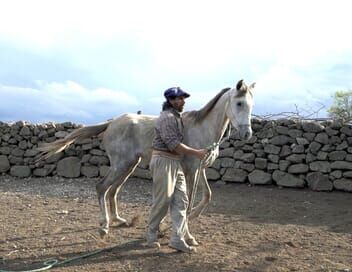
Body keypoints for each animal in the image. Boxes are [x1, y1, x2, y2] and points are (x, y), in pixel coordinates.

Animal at [37, 78, 254, 238]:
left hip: (129, 165)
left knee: (113, 190)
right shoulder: (191, 170)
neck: (202, 128)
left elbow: (207, 195)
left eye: (251, 105)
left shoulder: (200, 168)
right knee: (102, 187)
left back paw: (119, 220)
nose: (247, 134)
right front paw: (182, 230)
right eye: (239, 103)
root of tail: (111, 123)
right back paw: (105, 225)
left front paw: (186, 220)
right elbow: (189, 200)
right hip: (121, 164)